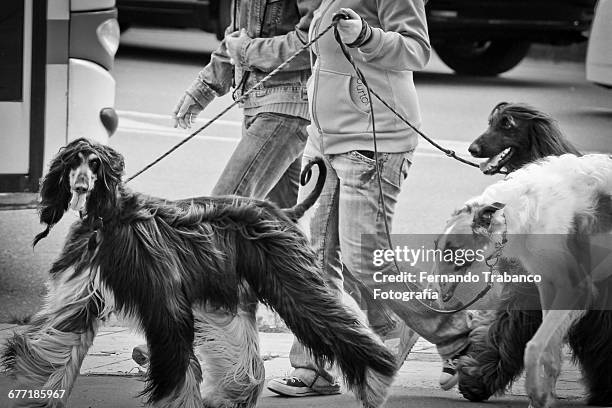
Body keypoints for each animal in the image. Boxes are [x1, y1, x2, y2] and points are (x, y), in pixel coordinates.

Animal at [1, 139, 396, 408]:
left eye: (95, 164)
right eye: (72, 163)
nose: (81, 187)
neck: (107, 219)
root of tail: (282, 211)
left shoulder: (165, 301)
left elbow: (176, 369)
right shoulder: (80, 295)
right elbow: (55, 346)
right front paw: (36, 392)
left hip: (289, 281)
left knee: (336, 325)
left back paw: (379, 381)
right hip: (227, 293)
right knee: (243, 349)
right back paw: (232, 394)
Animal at [436, 154, 612, 408]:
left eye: (454, 251)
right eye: (436, 247)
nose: (440, 296)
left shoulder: (577, 288)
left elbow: (533, 346)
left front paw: (536, 392)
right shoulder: (548, 284)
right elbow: (549, 351)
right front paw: (543, 397)